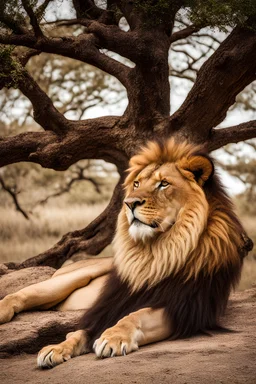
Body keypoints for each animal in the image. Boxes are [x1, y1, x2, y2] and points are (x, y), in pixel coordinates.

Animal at [0, 139, 246, 368]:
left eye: (163, 184)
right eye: (136, 183)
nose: (129, 203)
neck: (156, 251)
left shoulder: (184, 307)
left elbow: (135, 315)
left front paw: (113, 338)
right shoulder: (110, 304)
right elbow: (79, 332)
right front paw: (56, 348)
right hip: (69, 278)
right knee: (20, 294)